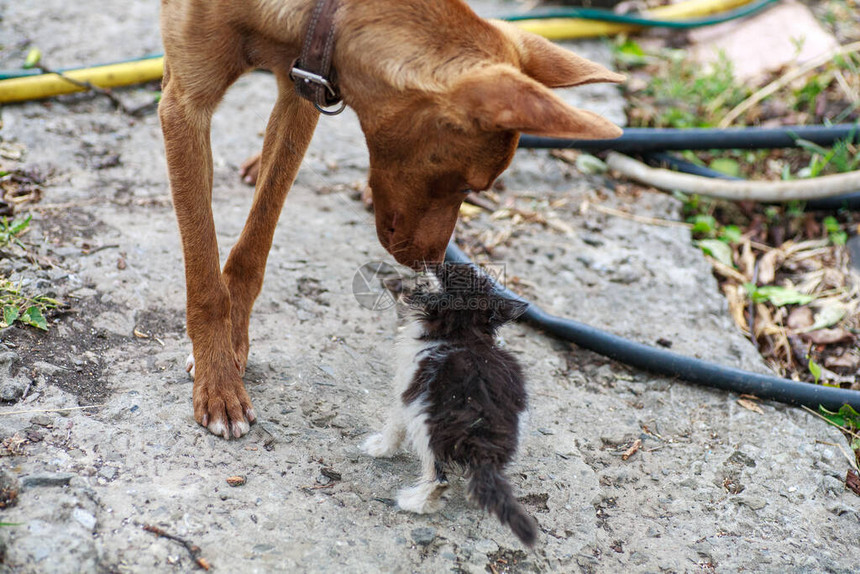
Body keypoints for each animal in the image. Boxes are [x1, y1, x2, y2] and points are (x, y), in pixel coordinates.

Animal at [158, 1, 620, 440]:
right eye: (467, 184)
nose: (434, 261)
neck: (325, 10)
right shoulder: (184, 107)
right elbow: (203, 268)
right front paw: (219, 379)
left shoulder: (303, 90)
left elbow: (256, 240)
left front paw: (233, 343)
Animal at [358, 266, 536, 548]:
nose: (435, 264)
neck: (462, 333)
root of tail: (482, 435)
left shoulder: (407, 389)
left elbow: (394, 426)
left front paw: (380, 448)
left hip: (428, 426)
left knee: (438, 477)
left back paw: (414, 502)